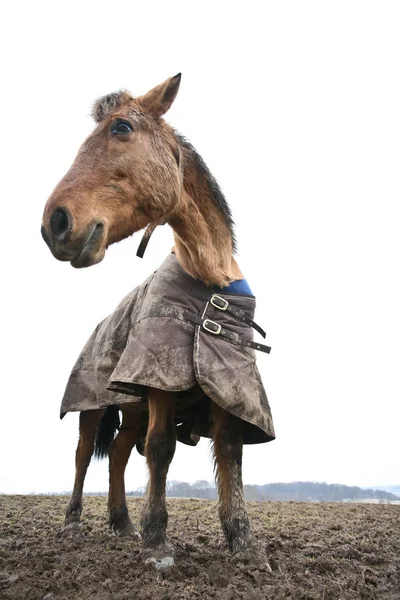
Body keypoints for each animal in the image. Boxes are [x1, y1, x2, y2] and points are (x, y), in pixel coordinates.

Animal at [41, 74, 276, 564]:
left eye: (122, 128)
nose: (55, 223)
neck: (209, 279)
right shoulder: (159, 382)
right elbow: (161, 448)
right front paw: (156, 541)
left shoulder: (228, 385)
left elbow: (230, 452)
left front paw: (243, 543)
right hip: (92, 409)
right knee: (83, 455)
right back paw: (74, 523)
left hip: (130, 411)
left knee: (118, 455)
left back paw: (121, 523)